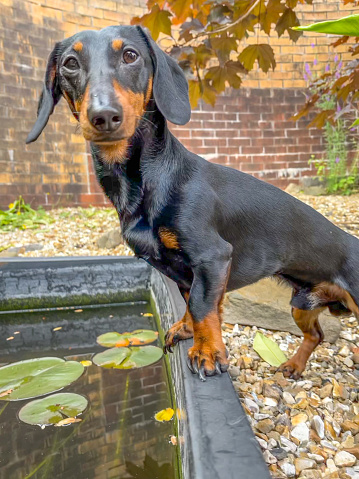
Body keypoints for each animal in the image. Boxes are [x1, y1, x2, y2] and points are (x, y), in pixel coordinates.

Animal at [26, 26, 359, 382]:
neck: (149, 181)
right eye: (70, 63)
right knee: (316, 335)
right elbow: (190, 302)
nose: (103, 115)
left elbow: (201, 306)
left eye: (130, 55)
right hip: (301, 304)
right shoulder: (184, 271)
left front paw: (209, 353)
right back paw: (294, 365)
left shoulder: (213, 257)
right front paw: (188, 332)